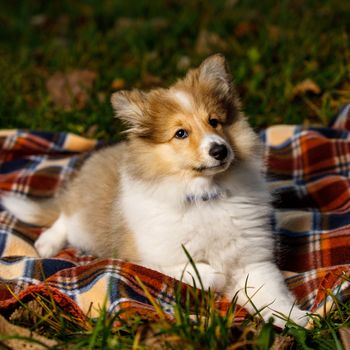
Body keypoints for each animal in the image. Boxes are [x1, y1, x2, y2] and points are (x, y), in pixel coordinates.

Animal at [2, 54, 308, 328]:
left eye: (214, 121)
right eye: (180, 133)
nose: (220, 150)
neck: (204, 196)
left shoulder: (252, 261)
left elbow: (270, 293)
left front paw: (294, 319)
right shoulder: (145, 258)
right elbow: (194, 271)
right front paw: (216, 275)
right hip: (83, 221)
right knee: (65, 217)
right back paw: (46, 243)